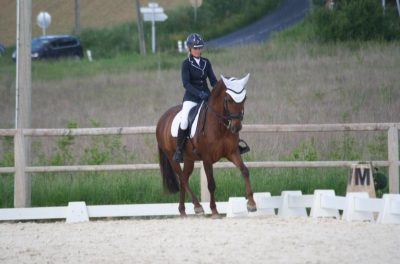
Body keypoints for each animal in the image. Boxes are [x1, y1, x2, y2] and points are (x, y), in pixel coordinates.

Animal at [155, 72, 255, 217]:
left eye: (244, 99)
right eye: (229, 99)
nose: (236, 127)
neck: (220, 126)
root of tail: (162, 119)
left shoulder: (232, 152)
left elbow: (245, 171)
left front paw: (251, 204)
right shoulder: (207, 158)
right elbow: (211, 184)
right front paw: (214, 211)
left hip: (189, 159)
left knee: (184, 178)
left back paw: (183, 211)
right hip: (172, 156)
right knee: (182, 178)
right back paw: (198, 207)